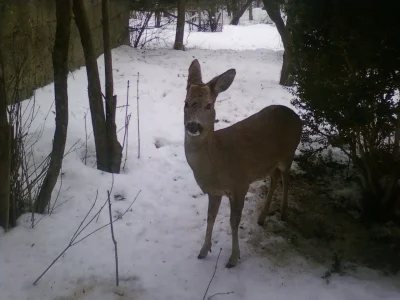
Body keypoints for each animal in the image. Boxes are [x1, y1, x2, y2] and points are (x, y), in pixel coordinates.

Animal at [183, 58, 302, 268]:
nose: (193, 126)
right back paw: (262, 217)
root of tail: (299, 119)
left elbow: (234, 221)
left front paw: (233, 258)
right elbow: (210, 217)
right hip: (269, 163)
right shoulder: (214, 191)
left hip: (288, 153)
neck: (218, 161)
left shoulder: (240, 184)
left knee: (286, 177)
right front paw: (204, 251)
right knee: (275, 178)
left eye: (209, 105)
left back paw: (284, 213)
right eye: (186, 103)